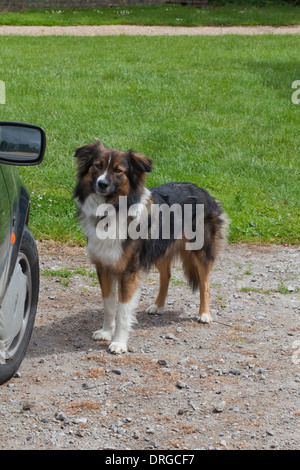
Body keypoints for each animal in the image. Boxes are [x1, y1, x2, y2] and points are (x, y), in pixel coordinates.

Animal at [74, 141, 229, 354]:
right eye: (97, 166)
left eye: (118, 170)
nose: (101, 184)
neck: (111, 209)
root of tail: (201, 189)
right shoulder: (103, 266)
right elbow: (109, 305)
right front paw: (106, 332)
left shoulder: (128, 271)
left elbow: (123, 311)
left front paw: (119, 343)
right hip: (160, 249)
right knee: (166, 276)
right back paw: (158, 305)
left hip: (201, 251)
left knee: (205, 283)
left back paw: (204, 314)